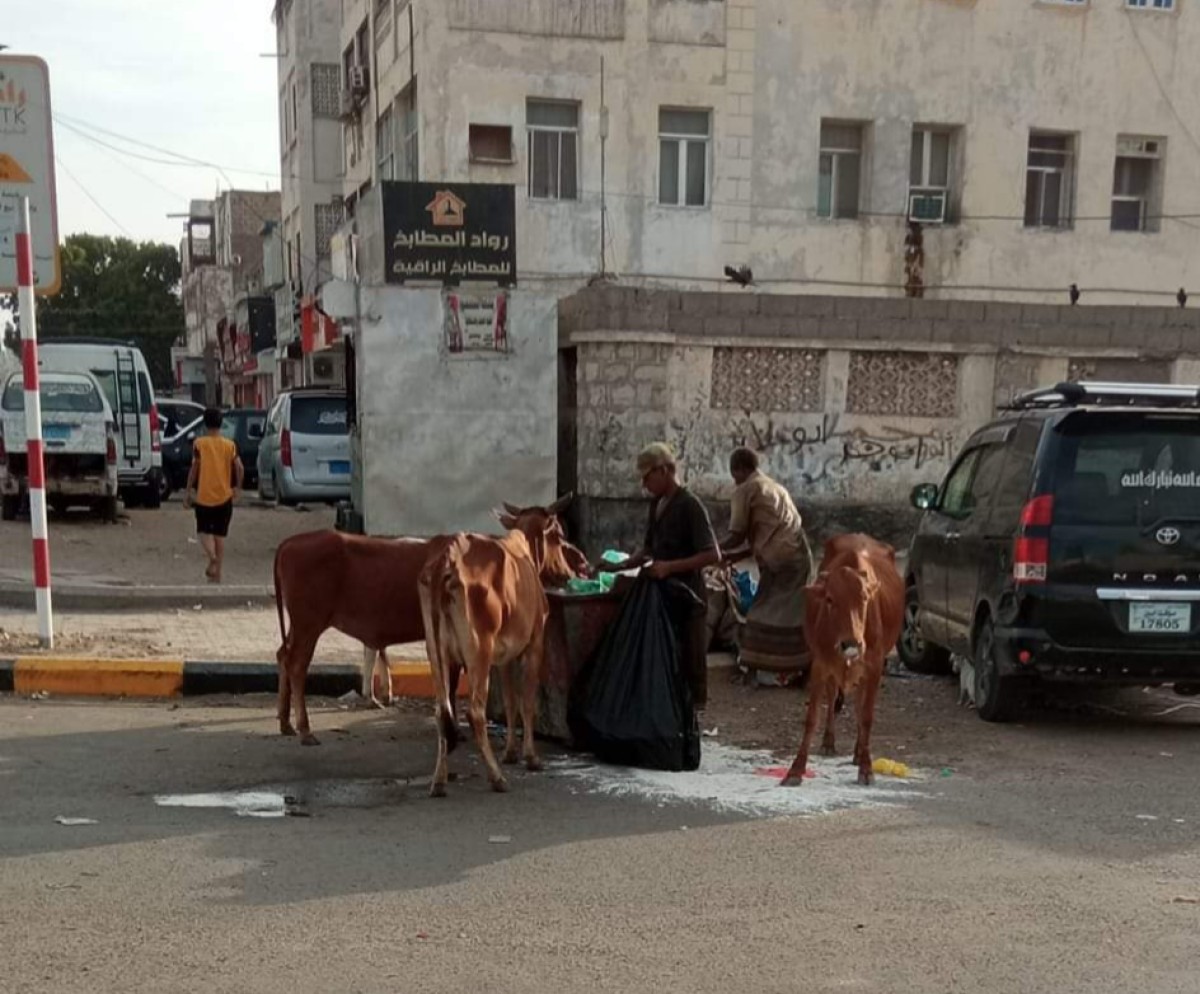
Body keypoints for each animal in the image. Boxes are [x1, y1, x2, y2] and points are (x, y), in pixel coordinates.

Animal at [417, 509, 576, 797]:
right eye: (558, 535)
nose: (567, 573)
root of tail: (447, 558)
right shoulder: (534, 643)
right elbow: (527, 702)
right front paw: (530, 756)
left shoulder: (503, 658)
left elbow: (511, 701)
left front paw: (511, 752)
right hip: (479, 651)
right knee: (475, 712)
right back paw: (496, 777)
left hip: (437, 653)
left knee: (441, 712)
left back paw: (440, 780)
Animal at [782, 533, 902, 787]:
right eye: (829, 599)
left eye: (865, 598)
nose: (851, 644)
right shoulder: (820, 665)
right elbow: (812, 718)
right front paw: (795, 770)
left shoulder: (875, 666)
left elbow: (866, 716)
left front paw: (866, 767)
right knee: (832, 698)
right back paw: (829, 742)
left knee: (859, 704)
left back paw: (858, 752)